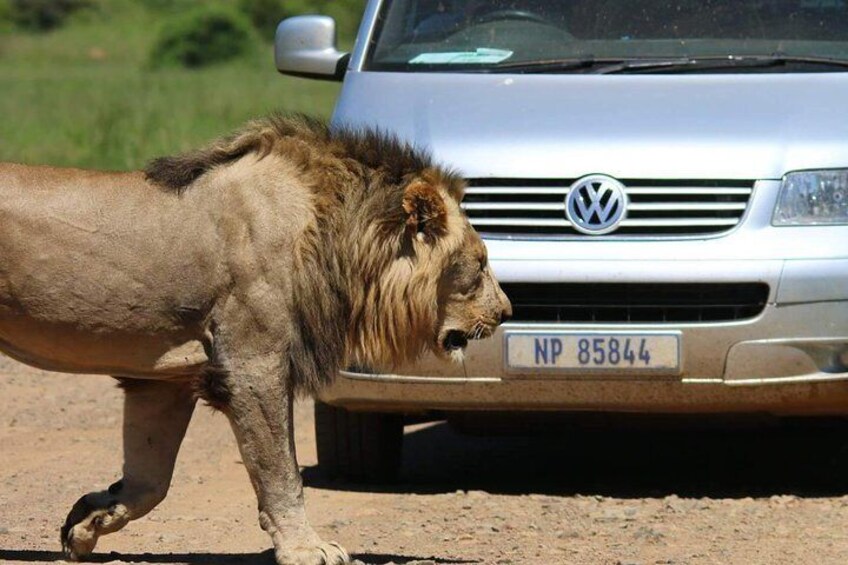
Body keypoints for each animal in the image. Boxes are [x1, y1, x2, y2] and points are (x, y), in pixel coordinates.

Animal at [0, 114, 510, 564]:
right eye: (480, 263)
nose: (506, 311)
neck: (335, 236)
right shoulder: (252, 363)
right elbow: (282, 472)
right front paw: (306, 549)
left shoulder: (163, 379)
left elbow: (150, 481)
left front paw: (85, 523)